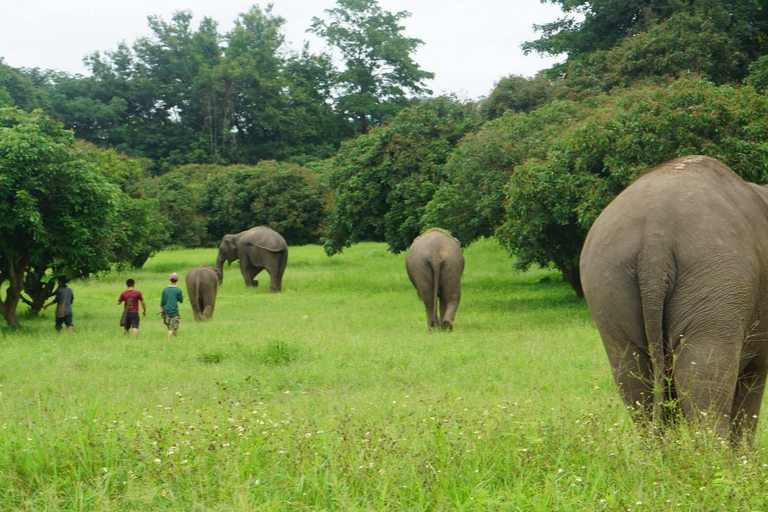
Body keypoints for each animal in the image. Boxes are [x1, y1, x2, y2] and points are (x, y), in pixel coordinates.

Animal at [580, 155, 768, 441]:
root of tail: (654, 240)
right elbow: (754, 376)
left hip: (604, 279)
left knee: (632, 374)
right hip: (716, 275)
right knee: (703, 373)